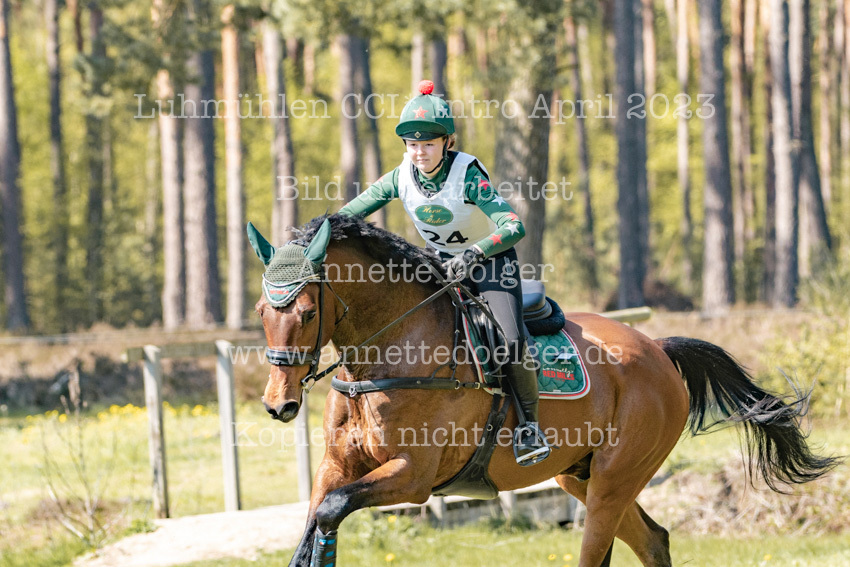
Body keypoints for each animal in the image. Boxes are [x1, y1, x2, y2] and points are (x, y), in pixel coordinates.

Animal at [249, 214, 838, 567]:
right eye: (260, 311)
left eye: (306, 312)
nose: (279, 405)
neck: (392, 348)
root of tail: (657, 348)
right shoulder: (336, 467)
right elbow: (317, 516)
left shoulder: (413, 477)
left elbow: (330, 512)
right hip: (581, 475)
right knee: (654, 539)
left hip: (613, 480)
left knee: (602, 549)